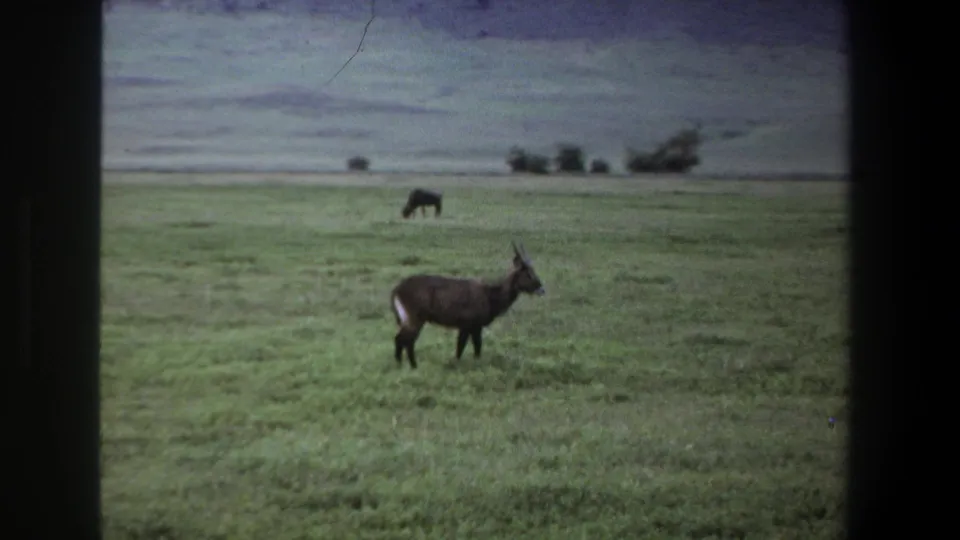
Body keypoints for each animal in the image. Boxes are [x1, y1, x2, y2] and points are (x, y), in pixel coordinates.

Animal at [389, 241, 546, 369]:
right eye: (528, 274)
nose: (542, 289)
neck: (490, 295)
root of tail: (397, 289)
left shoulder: (473, 328)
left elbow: (470, 348)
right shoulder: (469, 326)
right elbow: (467, 348)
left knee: (401, 339)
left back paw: (401, 365)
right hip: (416, 319)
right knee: (405, 340)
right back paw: (412, 366)